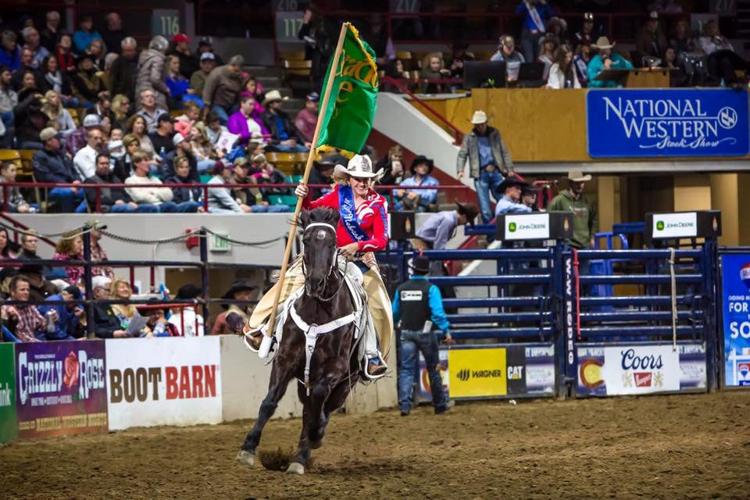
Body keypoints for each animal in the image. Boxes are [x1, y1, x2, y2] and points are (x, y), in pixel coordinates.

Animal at [236, 209, 362, 474]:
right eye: (306, 240)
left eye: (332, 243)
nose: (315, 282)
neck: (317, 312)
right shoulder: (285, 360)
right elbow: (269, 402)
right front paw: (247, 449)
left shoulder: (335, 369)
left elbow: (317, 406)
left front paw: (313, 438)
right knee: (308, 408)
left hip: (347, 382)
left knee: (322, 407)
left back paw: (305, 450)